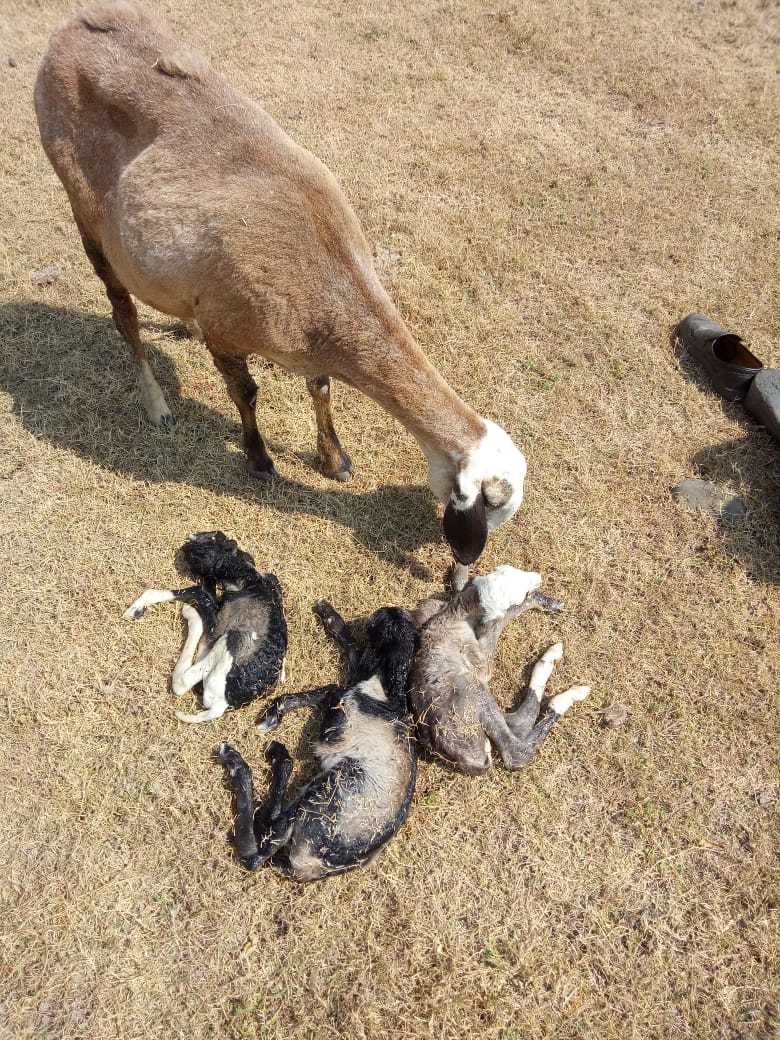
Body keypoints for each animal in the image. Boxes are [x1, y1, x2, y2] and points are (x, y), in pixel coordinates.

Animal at [34, 3, 527, 564]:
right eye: (488, 508)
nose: (466, 562)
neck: (329, 283)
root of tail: (73, 26)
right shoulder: (227, 328)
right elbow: (246, 392)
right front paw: (260, 460)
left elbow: (320, 385)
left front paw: (335, 460)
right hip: (85, 211)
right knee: (123, 314)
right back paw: (157, 404)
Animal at [123, 531, 287, 723]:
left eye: (210, 543)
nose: (187, 545)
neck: (251, 579)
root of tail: (222, 705)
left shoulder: (217, 616)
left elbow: (197, 592)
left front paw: (135, 608)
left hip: (229, 640)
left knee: (182, 682)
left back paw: (189, 615)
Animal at [217, 599, 418, 880]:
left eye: (385, 621)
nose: (382, 610)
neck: (389, 694)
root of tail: (310, 869)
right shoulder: (352, 682)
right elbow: (348, 656)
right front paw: (329, 615)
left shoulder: (334, 728)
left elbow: (332, 688)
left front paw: (273, 714)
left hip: (332, 783)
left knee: (259, 850)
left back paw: (245, 762)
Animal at [409, 565, 590, 774]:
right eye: (520, 590)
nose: (538, 578)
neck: (455, 614)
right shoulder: (482, 660)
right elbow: (504, 617)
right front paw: (541, 600)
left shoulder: (429, 608)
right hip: (471, 689)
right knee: (516, 745)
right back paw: (562, 684)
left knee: (514, 724)